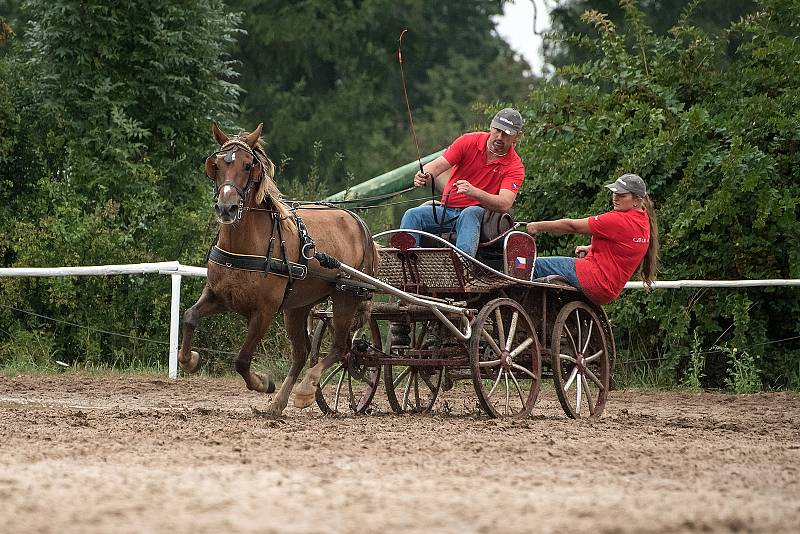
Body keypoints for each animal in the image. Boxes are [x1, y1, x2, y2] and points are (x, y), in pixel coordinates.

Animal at [180, 123, 380, 416]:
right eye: (215, 165)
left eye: (248, 165)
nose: (226, 207)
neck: (246, 246)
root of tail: (357, 220)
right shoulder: (220, 297)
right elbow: (189, 316)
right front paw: (190, 359)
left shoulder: (264, 311)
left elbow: (242, 360)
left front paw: (263, 383)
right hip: (297, 307)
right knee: (302, 353)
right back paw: (278, 404)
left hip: (346, 296)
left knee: (340, 347)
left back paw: (305, 391)